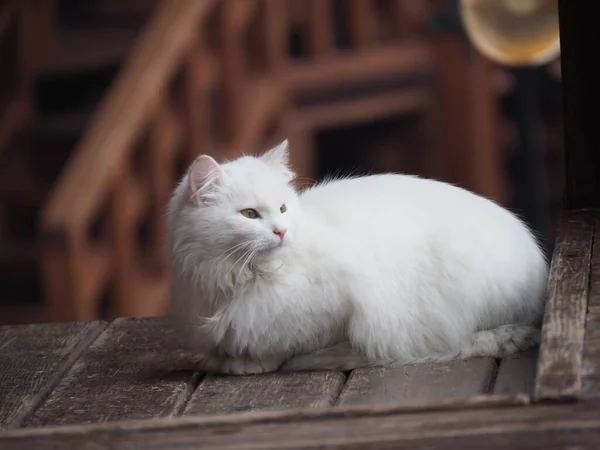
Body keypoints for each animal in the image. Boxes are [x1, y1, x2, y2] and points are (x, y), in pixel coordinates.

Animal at [168, 142, 548, 374]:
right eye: (249, 214)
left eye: (283, 209)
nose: (281, 231)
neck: (234, 277)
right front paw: (221, 359)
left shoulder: (342, 309)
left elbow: (287, 344)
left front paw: (248, 362)